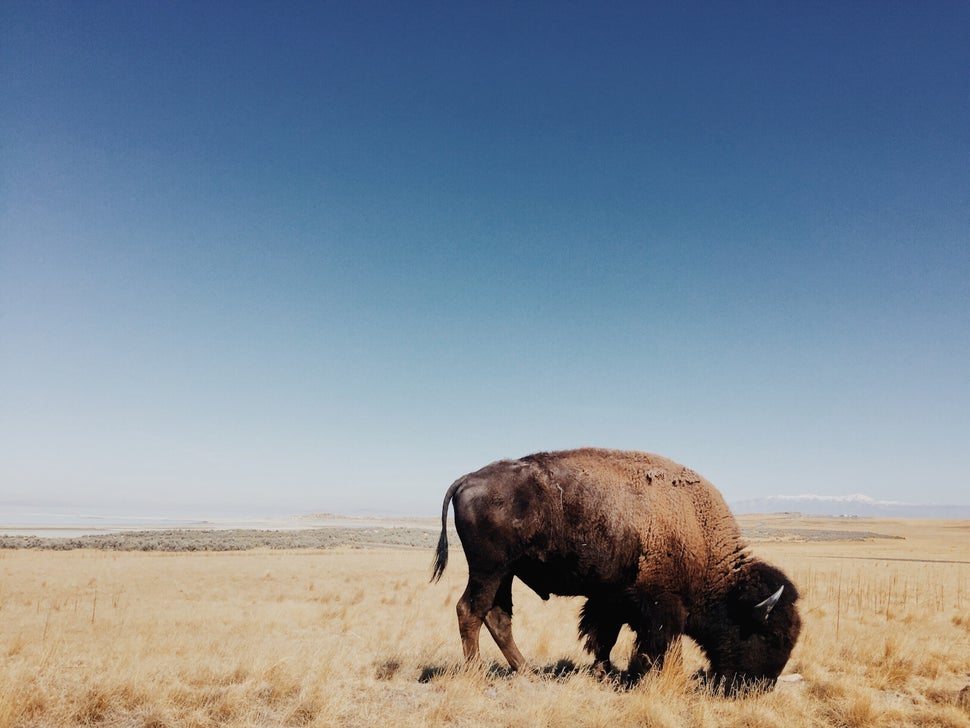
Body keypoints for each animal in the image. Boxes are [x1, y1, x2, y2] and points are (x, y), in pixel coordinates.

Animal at [432, 446, 800, 692]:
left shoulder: (611, 598)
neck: (695, 528)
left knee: (497, 616)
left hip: (505, 573)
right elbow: (660, 642)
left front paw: (604, 671)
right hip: (488, 569)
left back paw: (527, 671)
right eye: (771, 635)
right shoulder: (660, 604)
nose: (760, 687)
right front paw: (654, 676)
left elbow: (603, 636)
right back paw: (477, 673)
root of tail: (466, 479)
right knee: (470, 610)